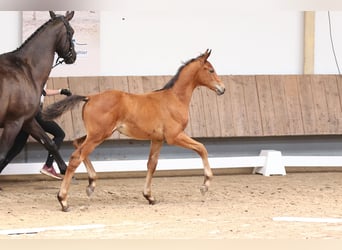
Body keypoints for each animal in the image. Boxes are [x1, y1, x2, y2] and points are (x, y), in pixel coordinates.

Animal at [0, 11, 76, 175]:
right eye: (72, 32)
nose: (73, 56)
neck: (26, 70)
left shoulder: (27, 121)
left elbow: (49, 143)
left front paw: (64, 170)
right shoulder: (13, 123)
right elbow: (2, 154)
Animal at [42, 49, 224, 211]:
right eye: (211, 70)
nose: (222, 89)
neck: (174, 98)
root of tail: (90, 97)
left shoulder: (157, 139)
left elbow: (152, 164)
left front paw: (149, 196)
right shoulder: (174, 136)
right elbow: (202, 148)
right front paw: (205, 185)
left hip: (96, 134)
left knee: (77, 143)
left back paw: (91, 184)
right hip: (99, 135)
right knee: (76, 157)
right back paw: (63, 200)